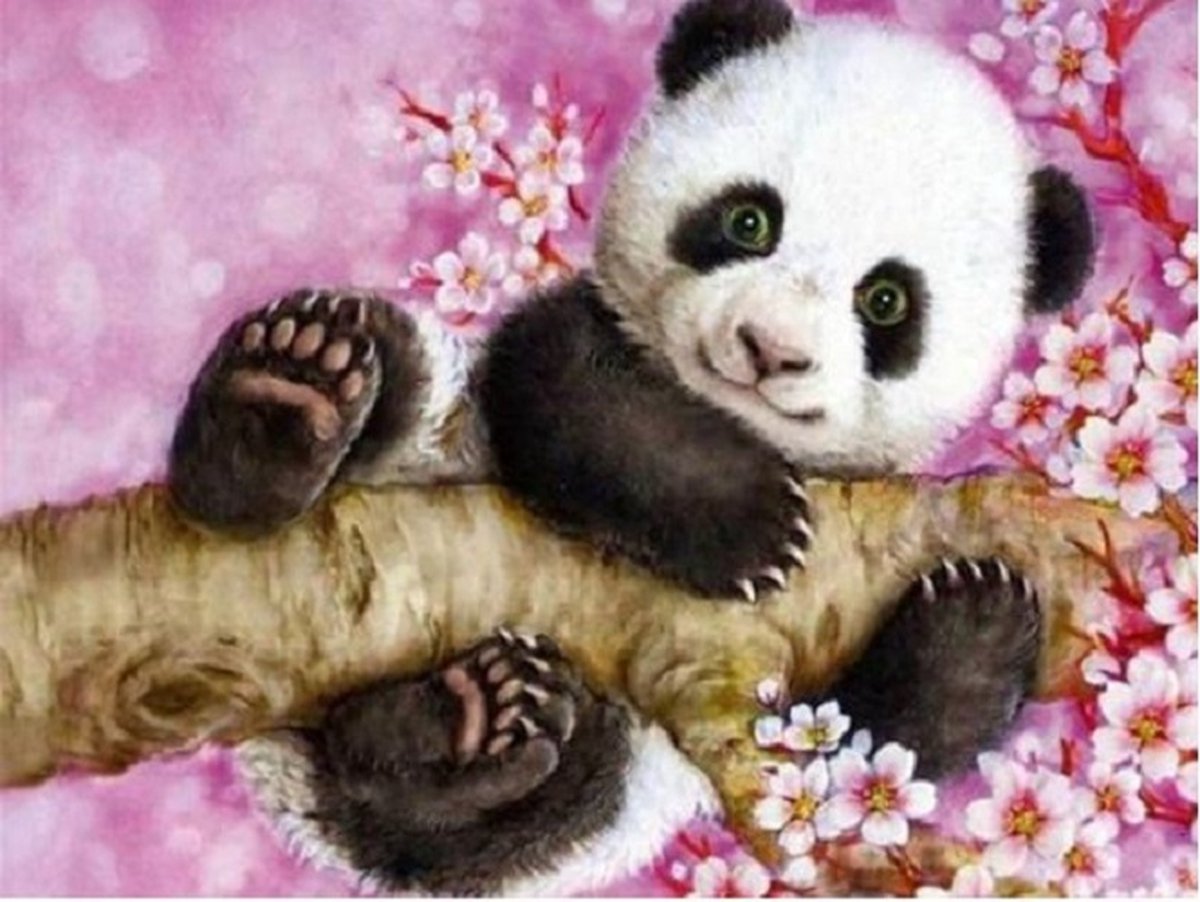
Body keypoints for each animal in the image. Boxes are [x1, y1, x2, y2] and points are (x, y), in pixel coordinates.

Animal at [169, 0, 1094, 894]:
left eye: (887, 300)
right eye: (748, 220)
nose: (769, 349)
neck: (727, 419)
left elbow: (844, 756)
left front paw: (979, 618)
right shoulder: (563, 345)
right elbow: (574, 393)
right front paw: (752, 529)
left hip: (603, 778)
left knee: (489, 811)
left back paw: (469, 720)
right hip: (435, 426)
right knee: (397, 372)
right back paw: (279, 406)